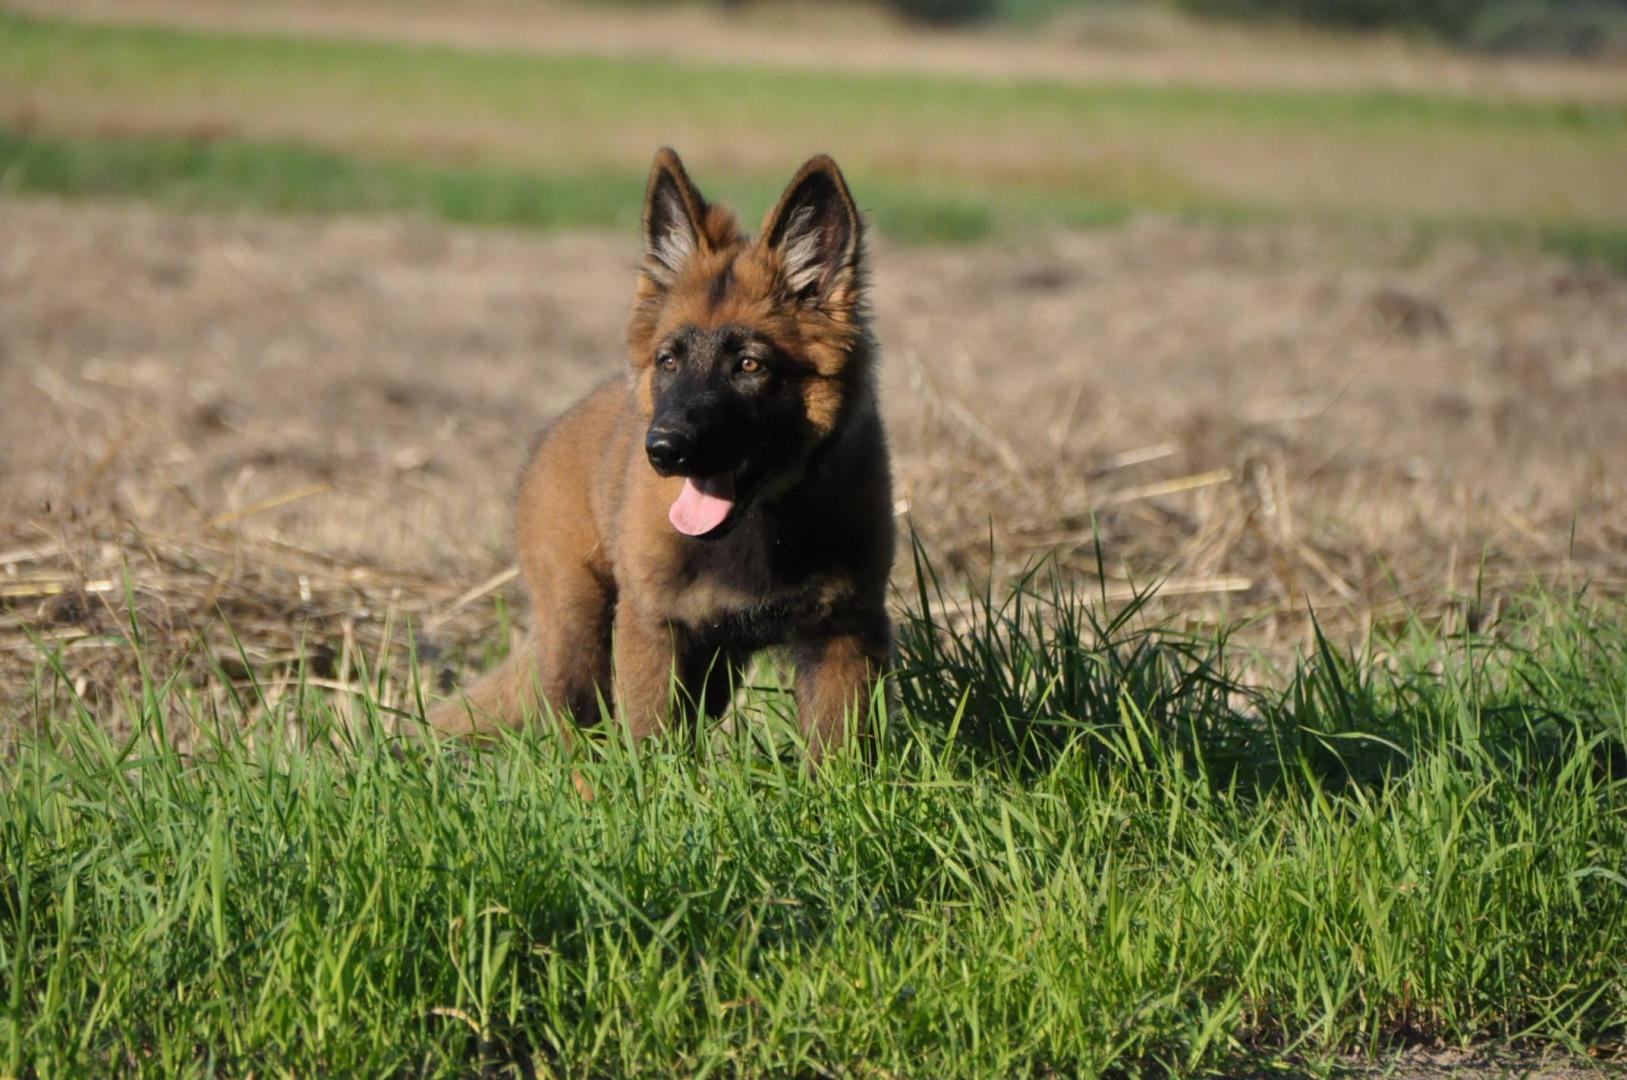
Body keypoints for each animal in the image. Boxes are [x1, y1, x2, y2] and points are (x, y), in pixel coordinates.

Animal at [425, 149, 894, 762]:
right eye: (669, 361)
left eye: (750, 365)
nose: (663, 450)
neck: (759, 529)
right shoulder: (651, 629)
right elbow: (650, 749)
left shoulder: (843, 636)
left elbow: (838, 759)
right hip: (579, 627)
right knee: (575, 728)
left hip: (711, 667)